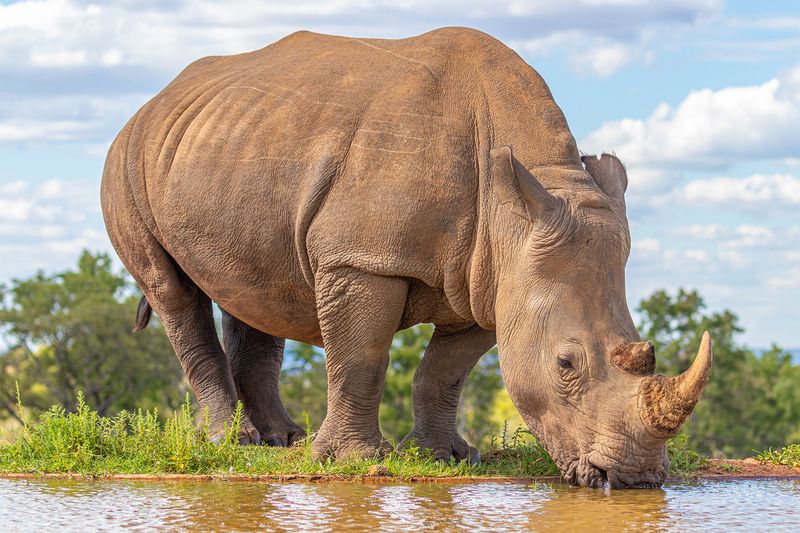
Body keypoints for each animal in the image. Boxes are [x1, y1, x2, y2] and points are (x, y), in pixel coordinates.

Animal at [101, 27, 712, 488]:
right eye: (565, 364)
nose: (633, 478)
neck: (515, 210)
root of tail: (155, 100)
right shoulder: (362, 258)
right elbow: (362, 358)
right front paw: (354, 461)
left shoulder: (490, 279)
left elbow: (444, 371)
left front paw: (446, 456)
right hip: (125, 159)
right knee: (173, 291)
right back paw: (233, 441)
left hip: (230, 147)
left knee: (255, 290)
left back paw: (282, 441)